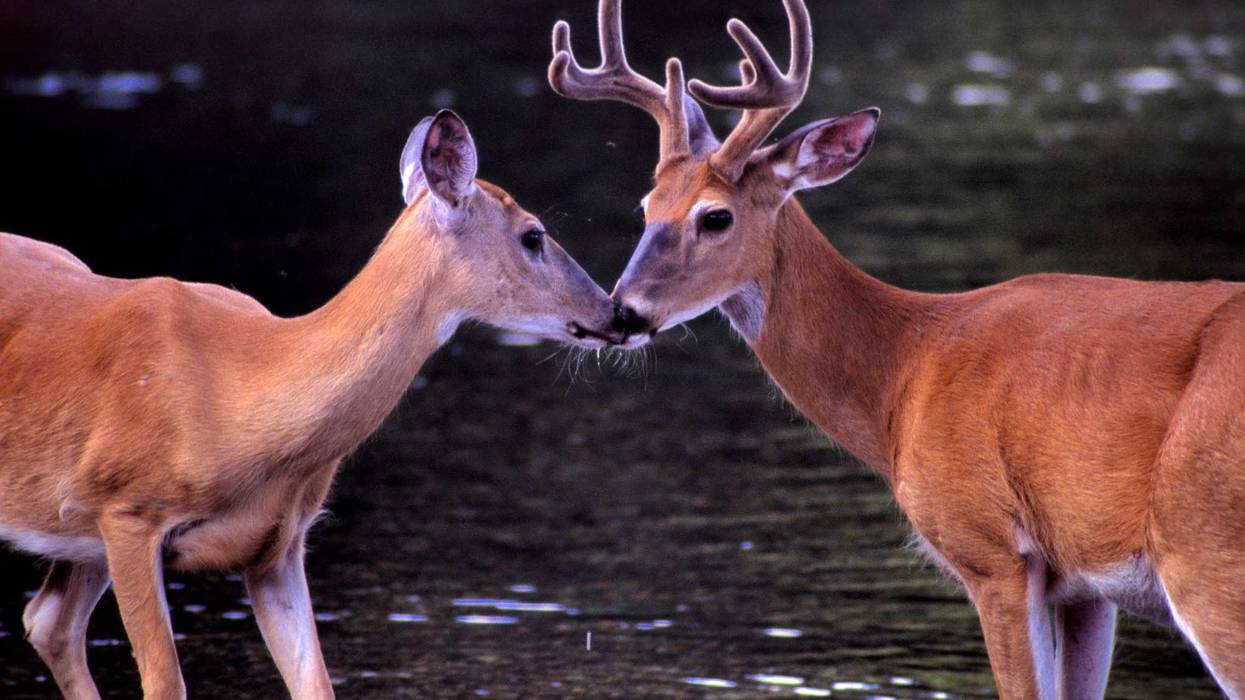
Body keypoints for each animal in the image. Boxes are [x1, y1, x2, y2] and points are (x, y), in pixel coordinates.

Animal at [0, 109, 623, 699]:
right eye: (533, 235)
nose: (615, 313)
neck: (239, 395)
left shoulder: (278, 547)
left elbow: (316, 683)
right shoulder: (129, 510)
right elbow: (166, 683)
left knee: (48, 621)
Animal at [549, 1, 1245, 698]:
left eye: (715, 217)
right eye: (646, 206)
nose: (621, 312)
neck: (905, 368)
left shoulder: (989, 546)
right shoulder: (1084, 584)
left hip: (1205, 549)